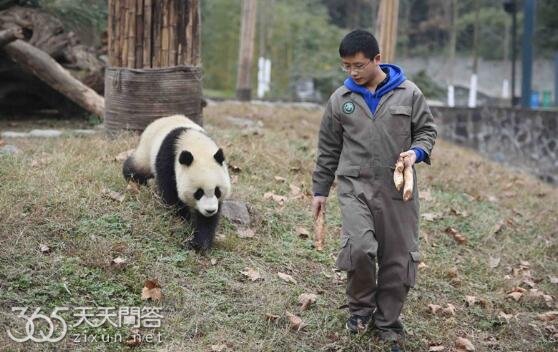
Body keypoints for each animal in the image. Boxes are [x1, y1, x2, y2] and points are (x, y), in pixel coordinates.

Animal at [124, 115, 232, 250]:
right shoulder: (168, 159)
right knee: (137, 168)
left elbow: (207, 221)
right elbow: (170, 193)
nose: (210, 210)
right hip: (147, 150)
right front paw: (184, 218)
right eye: (198, 192)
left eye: (218, 191)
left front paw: (199, 243)